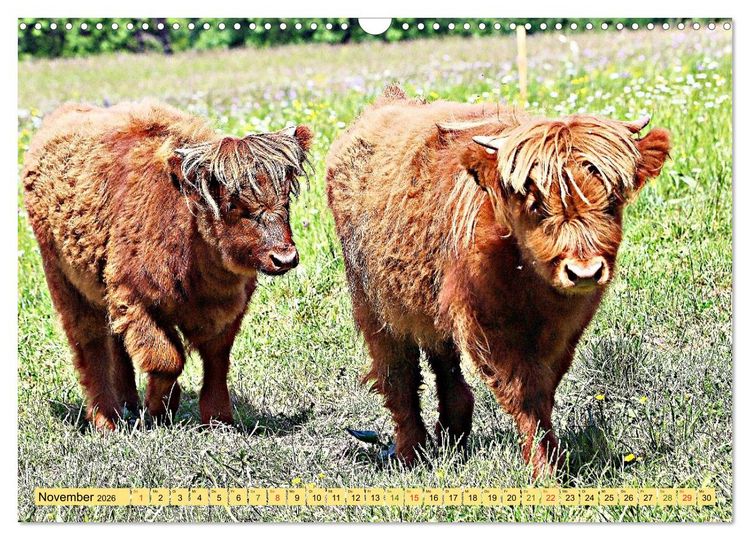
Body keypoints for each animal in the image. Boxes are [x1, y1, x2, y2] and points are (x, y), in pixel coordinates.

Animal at [22, 100, 312, 430]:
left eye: (285, 198)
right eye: (233, 204)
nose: (284, 258)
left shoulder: (227, 311)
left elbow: (216, 361)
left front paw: (218, 419)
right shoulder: (136, 300)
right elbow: (167, 359)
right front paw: (160, 408)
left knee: (115, 345)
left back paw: (127, 403)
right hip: (66, 284)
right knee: (90, 346)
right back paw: (107, 420)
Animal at [325, 85, 670, 476]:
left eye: (611, 201)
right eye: (537, 205)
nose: (584, 272)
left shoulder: (565, 330)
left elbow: (544, 387)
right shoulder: (488, 327)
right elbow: (524, 393)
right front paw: (544, 467)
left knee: (443, 361)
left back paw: (452, 433)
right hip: (374, 306)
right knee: (399, 376)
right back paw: (410, 453)